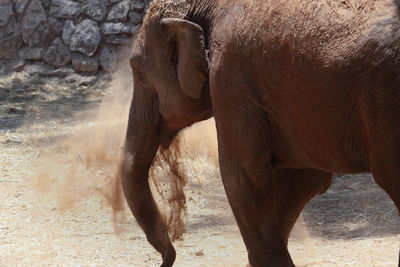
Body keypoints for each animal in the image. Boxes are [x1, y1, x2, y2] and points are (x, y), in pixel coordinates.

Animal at [120, 0, 400, 266]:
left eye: (140, 73)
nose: (167, 258)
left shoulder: (230, 79)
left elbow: (243, 177)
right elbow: (301, 179)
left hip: (384, 103)